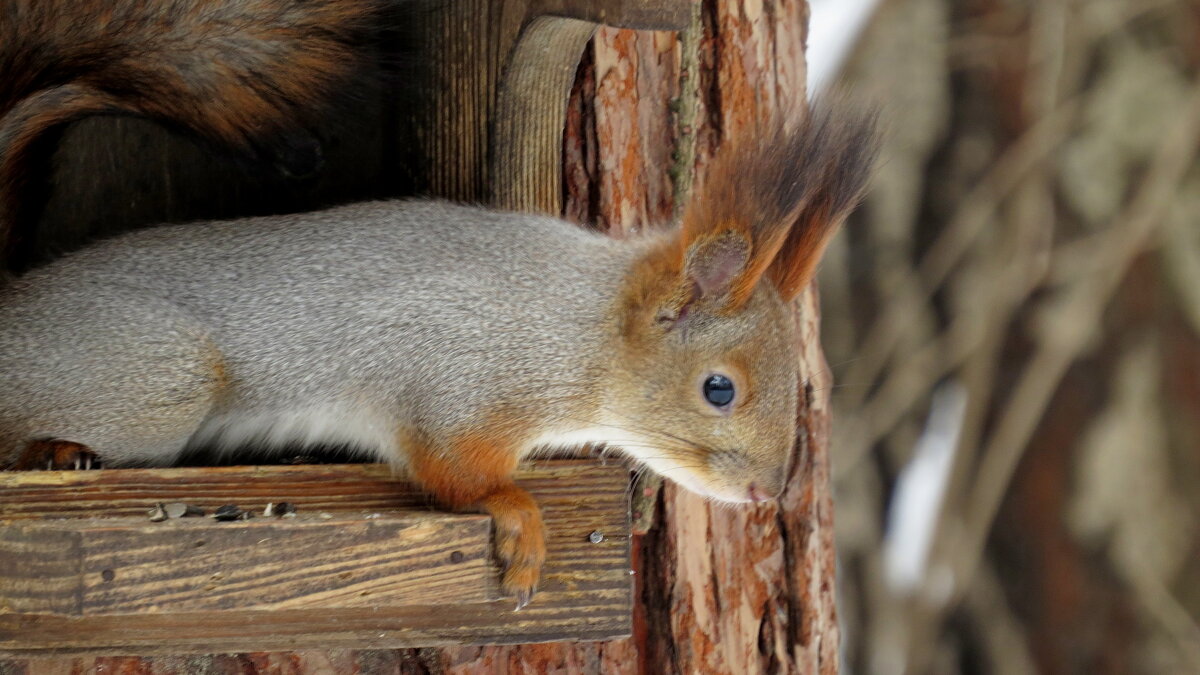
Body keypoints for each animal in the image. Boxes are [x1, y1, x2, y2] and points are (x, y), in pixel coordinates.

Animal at [0, 0, 883, 610]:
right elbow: (451, 471)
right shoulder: (448, 372)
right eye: (719, 388)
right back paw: (54, 449)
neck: (575, 331)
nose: (767, 492)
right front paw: (520, 518)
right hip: (162, 379)